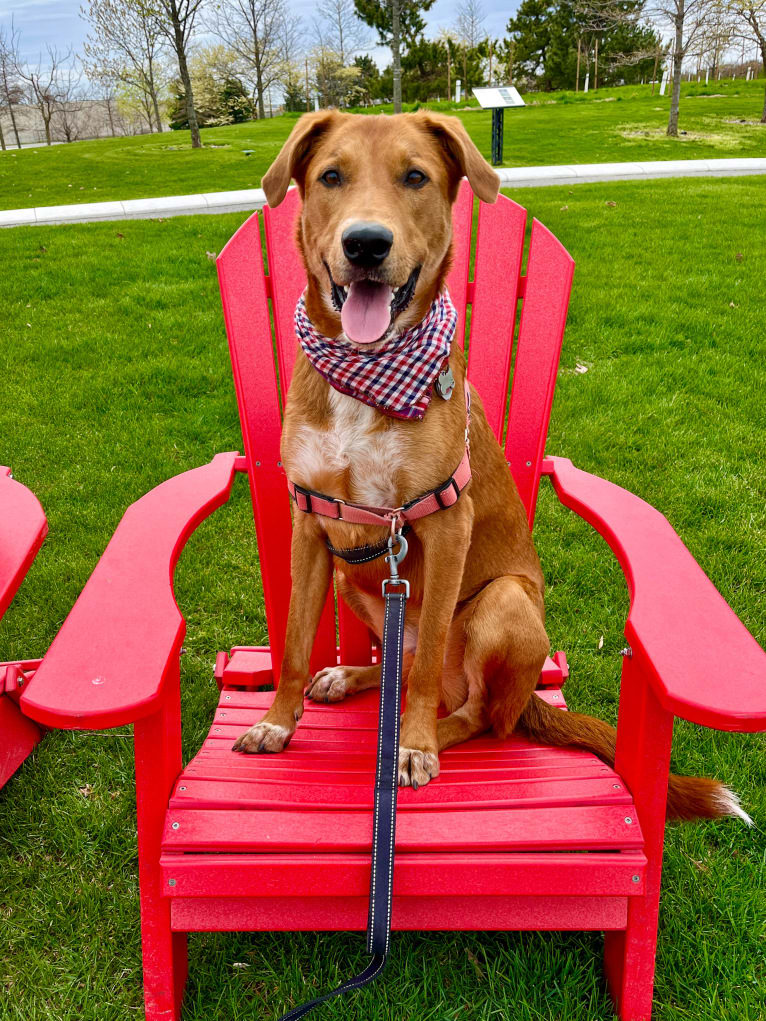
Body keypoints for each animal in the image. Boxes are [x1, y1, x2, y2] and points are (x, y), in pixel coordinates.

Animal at [232, 107, 751, 816]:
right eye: (330, 177)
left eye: (415, 177)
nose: (366, 244)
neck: (366, 375)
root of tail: (531, 693)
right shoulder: (312, 522)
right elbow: (290, 648)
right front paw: (277, 723)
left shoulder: (446, 522)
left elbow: (422, 669)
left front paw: (413, 745)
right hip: (351, 577)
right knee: (399, 666)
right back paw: (350, 675)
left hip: (501, 604)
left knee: (476, 711)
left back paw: (427, 732)